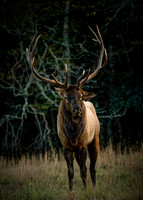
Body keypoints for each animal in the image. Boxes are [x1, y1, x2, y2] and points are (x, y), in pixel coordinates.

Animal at [26, 25, 108, 190]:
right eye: (65, 97)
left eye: (81, 95)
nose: (77, 109)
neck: (73, 134)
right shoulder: (65, 146)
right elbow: (70, 171)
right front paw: (71, 190)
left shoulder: (83, 144)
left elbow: (83, 169)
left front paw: (85, 189)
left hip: (95, 138)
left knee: (92, 167)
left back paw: (94, 185)